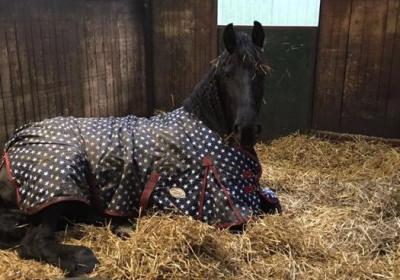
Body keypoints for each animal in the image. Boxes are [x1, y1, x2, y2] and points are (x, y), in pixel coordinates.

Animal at [0, 21, 282, 276]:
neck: (208, 125)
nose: (246, 129)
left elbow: (275, 206)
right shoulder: (226, 207)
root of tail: (11, 147)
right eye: (226, 74)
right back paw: (84, 258)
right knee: (34, 243)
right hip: (57, 184)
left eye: (262, 72)